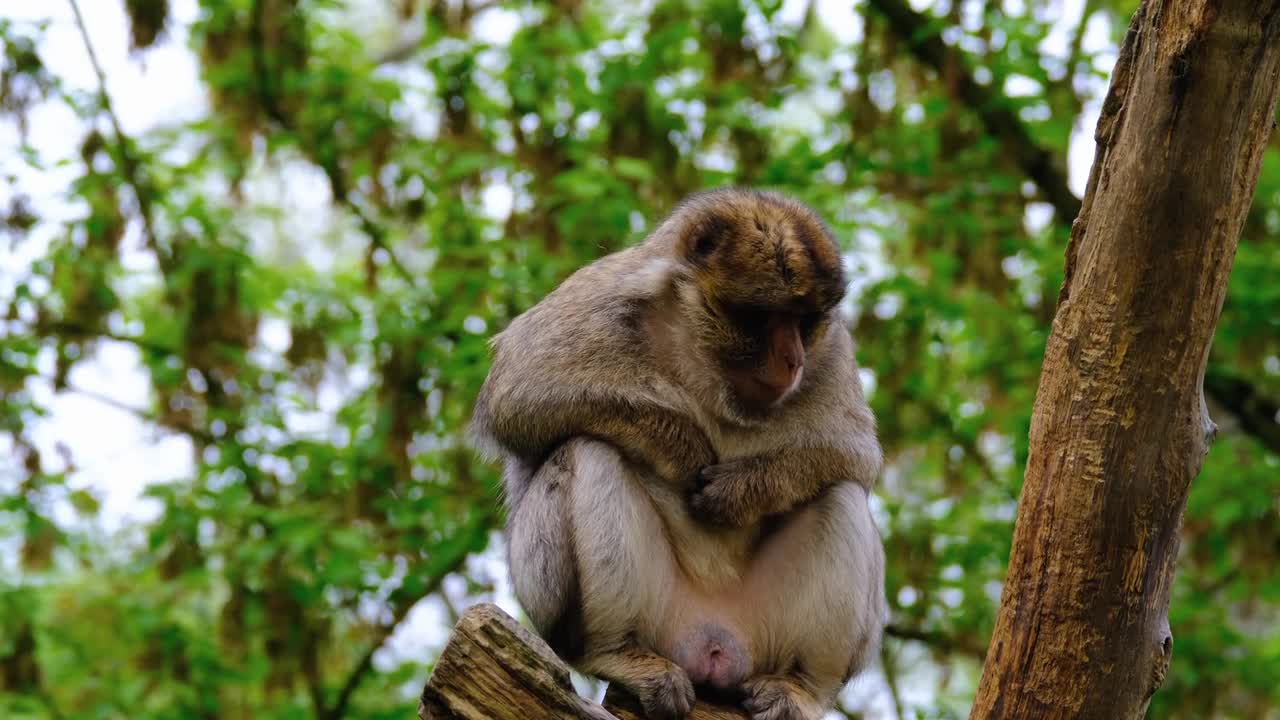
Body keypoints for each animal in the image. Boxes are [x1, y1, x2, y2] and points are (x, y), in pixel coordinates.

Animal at [473, 185, 890, 717]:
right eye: (763, 319)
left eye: (805, 322)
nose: (793, 359)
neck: (700, 356)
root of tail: (712, 645)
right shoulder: (605, 293)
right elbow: (517, 389)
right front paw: (680, 443)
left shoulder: (832, 347)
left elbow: (854, 455)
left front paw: (741, 492)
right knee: (586, 449)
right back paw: (617, 653)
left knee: (840, 494)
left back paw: (801, 687)